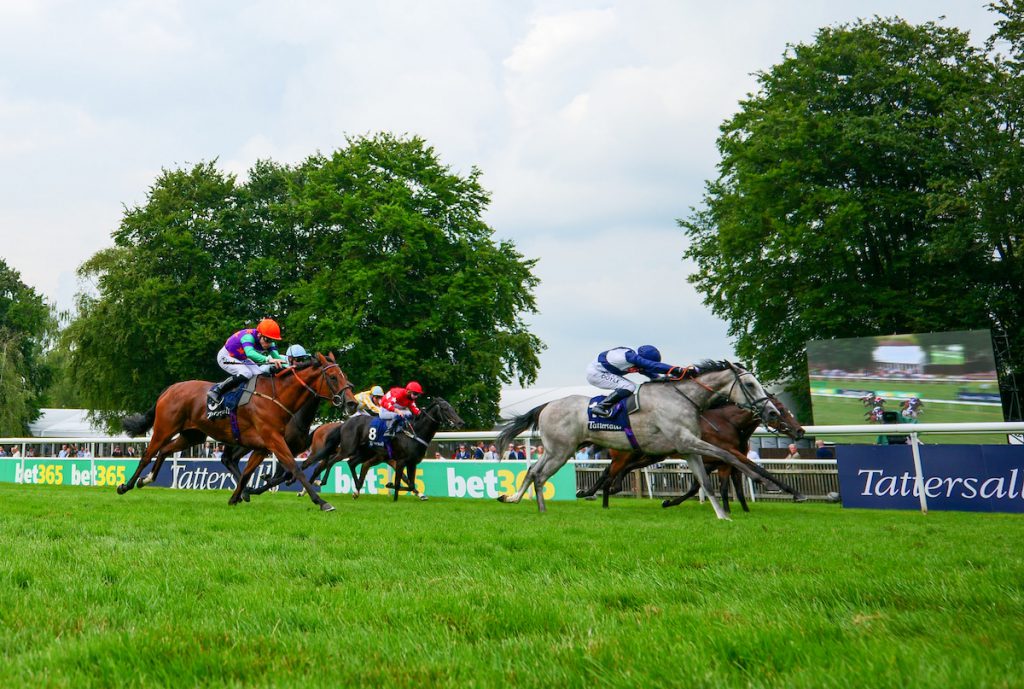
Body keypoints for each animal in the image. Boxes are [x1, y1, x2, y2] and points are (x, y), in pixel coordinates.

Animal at [119, 354, 358, 509]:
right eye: (333, 377)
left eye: (344, 375)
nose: (352, 403)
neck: (277, 396)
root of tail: (170, 388)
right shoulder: (274, 441)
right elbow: (294, 468)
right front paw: (322, 502)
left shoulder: (263, 446)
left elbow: (247, 473)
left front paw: (237, 497)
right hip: (164, 427)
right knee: (148, 454)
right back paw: (126, 485)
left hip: (192, 435)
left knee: (165, 451)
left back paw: (146, 480)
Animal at [493, 360, 774, 515]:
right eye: (750, 385)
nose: (771, 410)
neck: (683, 398)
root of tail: (547, 404)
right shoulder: (687, 442)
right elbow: (728, 455)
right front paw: (762, 479)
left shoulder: (687, 447)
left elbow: (709, 475)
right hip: (561, 451)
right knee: (540, 475)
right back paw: (540, 507)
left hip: (555, 450)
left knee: (532, 471)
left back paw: (516, 499)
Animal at [581, 393, 802, 509]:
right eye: (779, 411)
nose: (799, 430)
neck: (729, 423)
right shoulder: (727, 455)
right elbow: (759, 470)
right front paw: (795, 493)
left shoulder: (719, 461)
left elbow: (722, 486)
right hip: (630, 454)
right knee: (611, 471)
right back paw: (597, 493)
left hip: (648, 456)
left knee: (616, 470)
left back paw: (598, 490)